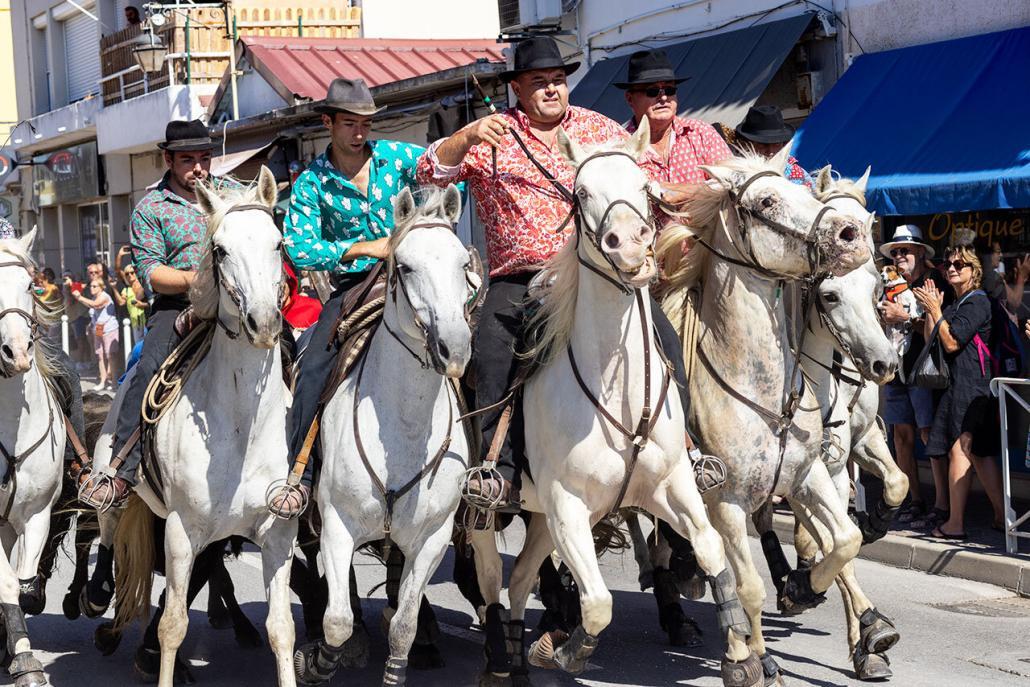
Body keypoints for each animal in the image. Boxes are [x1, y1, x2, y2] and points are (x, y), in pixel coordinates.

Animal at [92, 167, 298, 687]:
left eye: (278, 242)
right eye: (219, 249)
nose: (263, 321)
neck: (242, 425)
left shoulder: (278, 534)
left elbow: (282, 629)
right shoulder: (182, 531)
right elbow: (172, 625)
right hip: (114, 483)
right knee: (108, 531)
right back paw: (96, 597)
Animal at [294, 184, 477, 687]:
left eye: (463, 263)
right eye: (407, 266)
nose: (455, 348)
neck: (405, 428)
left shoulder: (432, 538)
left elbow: (403, 627)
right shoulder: (337, 524)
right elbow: (336, 620)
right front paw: (319, 661)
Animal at [471, 123, 762, 687]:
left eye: (644, 185)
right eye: (581, 192)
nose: (629, 245)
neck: (618, 399)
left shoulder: (671, 486)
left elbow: (711, 548)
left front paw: (740, 652)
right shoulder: (567, 505)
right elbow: (598, 603)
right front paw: (567, 652)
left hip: (539, 519)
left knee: (518, 582)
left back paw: (516, 662)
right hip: (482, 511)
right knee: (491, 578)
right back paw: (498, 660)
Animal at [655, 149, 873, 683]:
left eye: (802, 189)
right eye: (767, 200)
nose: (851, 234)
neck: (765, 395)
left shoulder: (807, 475)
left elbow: (846, 539)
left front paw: (803, 587)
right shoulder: (725, 500)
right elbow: (747, 585)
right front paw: (748, 657)